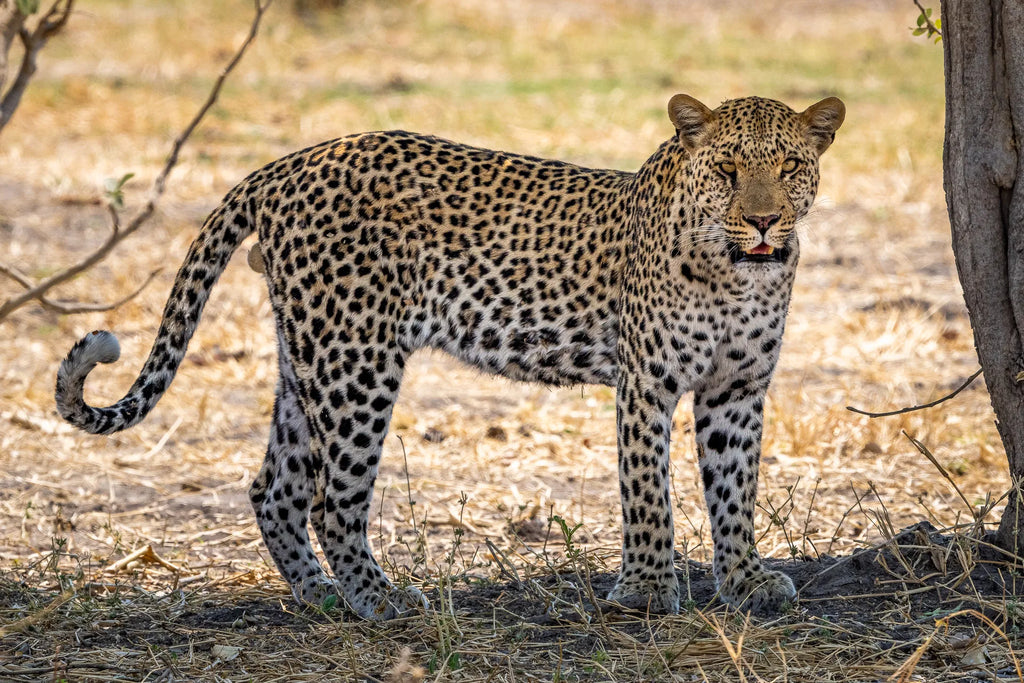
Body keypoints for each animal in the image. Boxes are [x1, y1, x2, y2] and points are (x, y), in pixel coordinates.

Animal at [56, 93, 845, 620]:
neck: (740, 273)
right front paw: (649, 589)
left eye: (789, 166)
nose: (764, 219)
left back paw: (321, 598)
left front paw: (743, 580)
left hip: (306, 353)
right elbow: (648, 490)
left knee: (274, 487)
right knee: (332, 497)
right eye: (728, 169)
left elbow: (734, 489)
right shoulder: (647, 383)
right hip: (356, 360)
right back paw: (382, 600)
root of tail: (287, 164)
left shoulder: (736, 389)